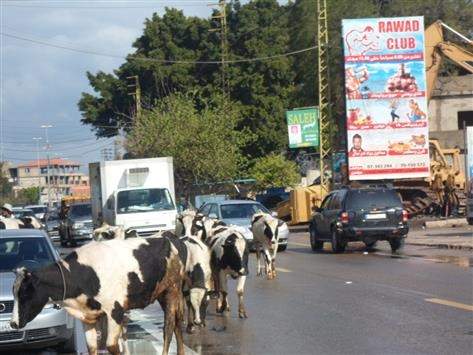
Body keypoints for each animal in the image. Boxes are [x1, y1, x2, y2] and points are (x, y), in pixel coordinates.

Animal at [10, 236, 186, 355]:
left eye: (25, 294)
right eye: (15, 293)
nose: (13, 323)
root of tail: (170, 238)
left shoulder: (115, 310)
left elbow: (112, 346)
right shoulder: (88, 316)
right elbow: (92, 346)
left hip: (172, 289)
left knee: (168, 327)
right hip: (164, 294)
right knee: (178, 323)